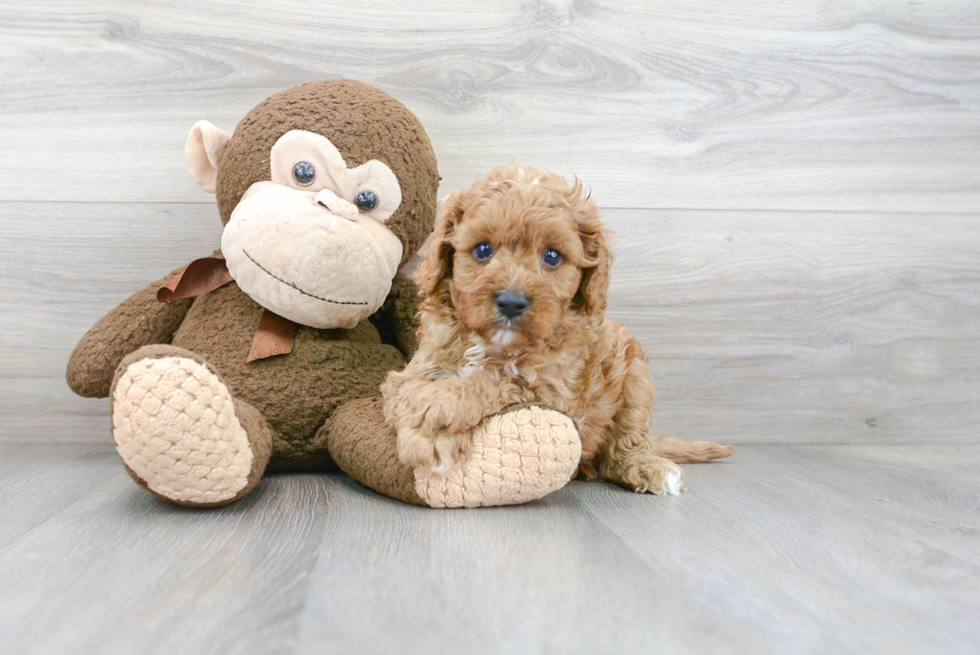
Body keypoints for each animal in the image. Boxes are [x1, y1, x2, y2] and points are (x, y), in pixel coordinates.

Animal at [382, 165, 736, 498]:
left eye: (552, 256)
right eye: (482, 250)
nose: (511, 302)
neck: (492, 344)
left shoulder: (556, 392)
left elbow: (496, 380)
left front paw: (438, 410)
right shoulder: (420, 365)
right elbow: (406, 391)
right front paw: (426, 432)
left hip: (635, 375)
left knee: (625, 444)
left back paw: (650, 467)